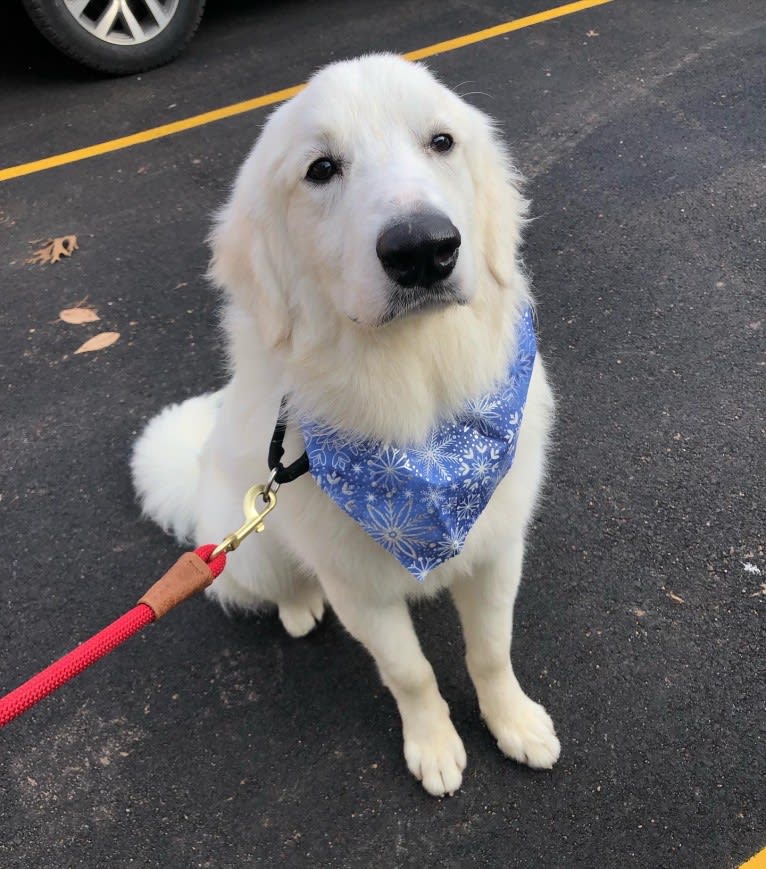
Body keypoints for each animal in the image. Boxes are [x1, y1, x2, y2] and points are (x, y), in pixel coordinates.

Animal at [132, 54, 560, 796]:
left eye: (441, 142)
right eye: (322, 168)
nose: (422, 249)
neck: (418, 426)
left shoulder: (496, 549)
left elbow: (490, 651)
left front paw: (513, 722)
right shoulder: (358, 589)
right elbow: (410, 673)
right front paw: (434, 745)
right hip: (254, 550)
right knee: (274, 585)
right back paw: (299, 608)